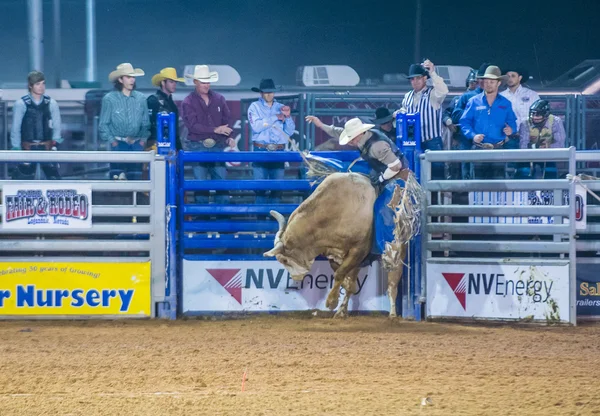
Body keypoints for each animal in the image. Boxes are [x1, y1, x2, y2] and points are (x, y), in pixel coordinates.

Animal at [262, 167, 422, 318]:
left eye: (284, 260)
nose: (295, 278)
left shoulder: (359, 250)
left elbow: (340, 274)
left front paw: (331, 301)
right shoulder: (334, 253)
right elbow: (343, 276)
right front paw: (343, 294)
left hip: (397, 250)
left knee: (392, 283)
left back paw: (393, 314)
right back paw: (342, 311)